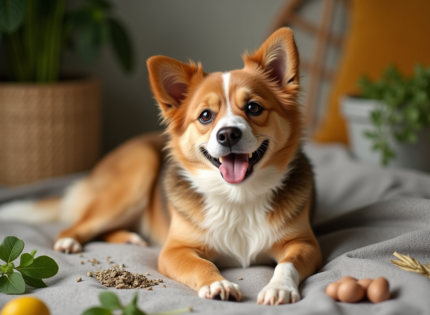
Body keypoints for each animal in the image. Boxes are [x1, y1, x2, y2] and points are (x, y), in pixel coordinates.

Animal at [0, 27, 320, 306]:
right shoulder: (174, 251)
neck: (237, 196)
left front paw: (278, 288)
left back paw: (131, 238)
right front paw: (217, 283)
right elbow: (202, 266)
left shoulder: (305, 244)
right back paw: (71, 241)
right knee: (75, 225)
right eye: (206, 116)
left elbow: (286, 265)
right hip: (137, 171)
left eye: (254, 108)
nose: (227, 134)